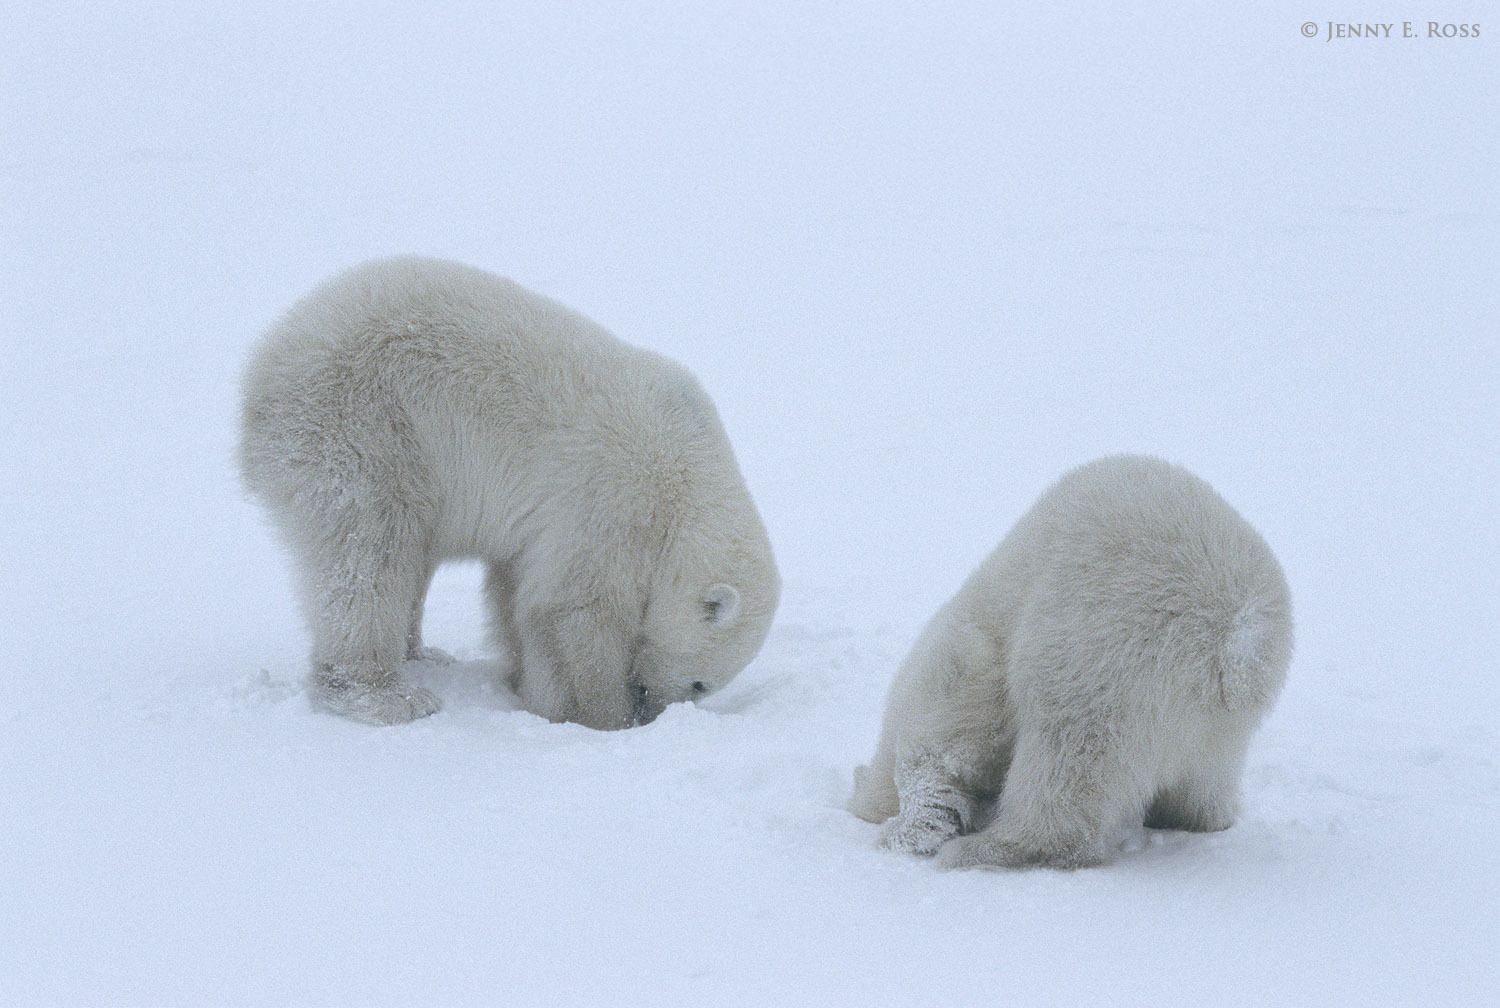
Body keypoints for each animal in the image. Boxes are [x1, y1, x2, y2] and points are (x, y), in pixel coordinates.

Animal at [239, 256, 779, 728]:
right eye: (700, 683)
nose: (655, 711)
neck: (684, 481)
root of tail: (264, 368)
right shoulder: (611, 504)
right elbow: (573, 611)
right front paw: (600, 716)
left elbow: (515, 592)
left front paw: (526, 683)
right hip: (364, 426)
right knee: (370, 551)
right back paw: (388, 695)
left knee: (409, 555)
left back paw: (425, 654)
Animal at [849, 454, 1292, 869]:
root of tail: (1238, 637)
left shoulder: (973, 651)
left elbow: (949, 726)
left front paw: (908, 829)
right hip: (1218, 719)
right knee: (1204, 782)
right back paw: (1195, 818)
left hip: (1107, 648)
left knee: (1066, 751)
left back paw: (988, 849)